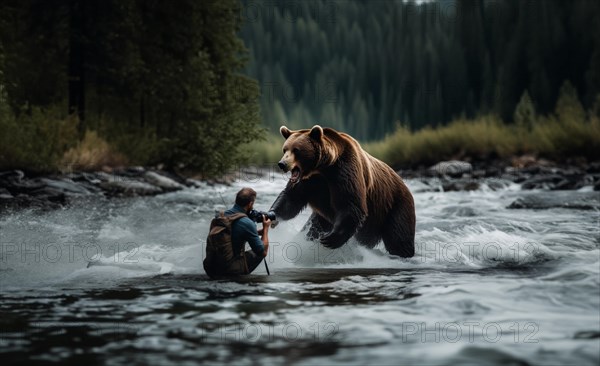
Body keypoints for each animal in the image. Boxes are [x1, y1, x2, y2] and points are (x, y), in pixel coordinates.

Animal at [270, 126, 414, 258]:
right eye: (285, 149)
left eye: (296, 150)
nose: (282, 164)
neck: (323, 168)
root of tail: (404, 184)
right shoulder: (309, 182)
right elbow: (291, 199)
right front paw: (272, 215)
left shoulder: (344, 171)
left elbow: (350, 204)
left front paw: (330, 239)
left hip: (395, 206)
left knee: (398, 237)